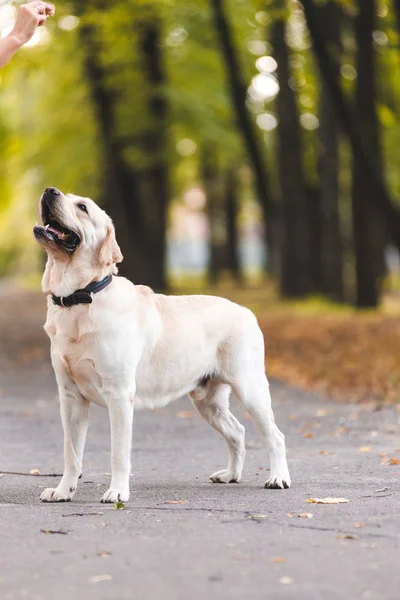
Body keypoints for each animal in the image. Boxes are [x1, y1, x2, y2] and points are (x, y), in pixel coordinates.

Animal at [33, 188, 290, 502]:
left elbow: (118, 453)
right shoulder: (70, 396)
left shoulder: (120, 395)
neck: (81, 296)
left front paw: (117, 492)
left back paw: (278, 477)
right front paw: (63, 490)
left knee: (275, 436)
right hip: (208, 401)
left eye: (82, 207)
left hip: (251, 388)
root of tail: (247, 311)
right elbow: (71, 453)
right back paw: (231, 475)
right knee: (237, 432)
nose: (50, 191)